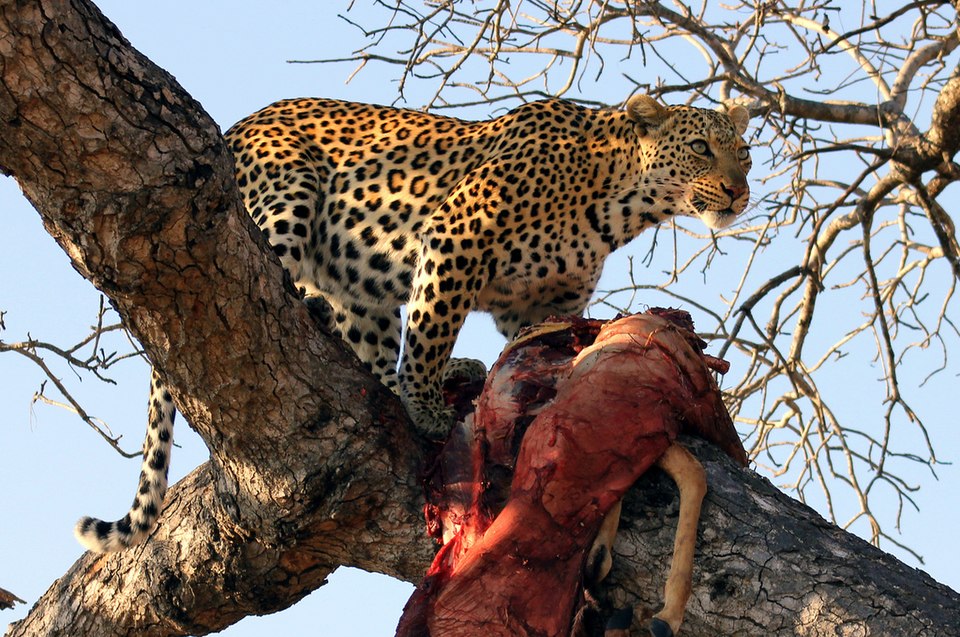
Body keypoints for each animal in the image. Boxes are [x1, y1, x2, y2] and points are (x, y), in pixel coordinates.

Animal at [74, 94, 751, 552]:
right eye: (700, 148)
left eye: (744, 153)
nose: (739, 191)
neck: (620, 201)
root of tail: (234, 128)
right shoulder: (457, 236)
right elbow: (431, 325)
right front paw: (426, 408)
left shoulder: (537, 304)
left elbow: (536, 348)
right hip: (285, 196)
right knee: (264, 276)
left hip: (358, 282)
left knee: (368, 344)